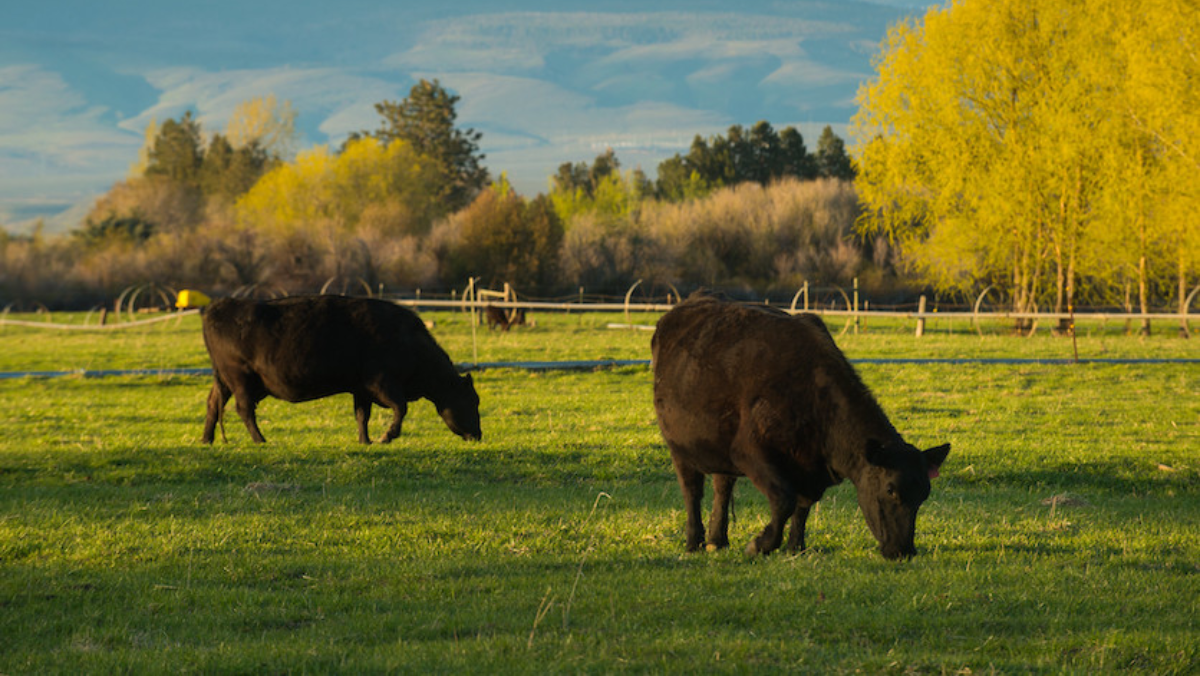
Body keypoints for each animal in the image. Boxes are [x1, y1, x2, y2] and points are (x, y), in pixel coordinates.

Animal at [201, 295, 481, 444]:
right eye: (472, 401)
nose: (478, 435)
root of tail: (220, 305)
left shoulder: (362, 389)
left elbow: (362, 416)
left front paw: (365, 441)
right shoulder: (382, 383)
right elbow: (401, 408)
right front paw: (387, 436)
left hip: (224, 381)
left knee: (213, 404)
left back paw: (207, 439)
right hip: (241, 379)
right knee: (244, 409)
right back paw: (260, 440)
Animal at [651, 293, 949, 560]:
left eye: (924, 494)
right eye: (890, 490)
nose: (903, 551)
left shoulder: (811, 471)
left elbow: (803, 506)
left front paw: (796, 547)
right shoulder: (749, 452)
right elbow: (785, 499)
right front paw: (761, 544)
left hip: (721, 445)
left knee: (722, 486)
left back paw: (718, 540)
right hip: (679, 445)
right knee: (691, 490)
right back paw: (695, 541)